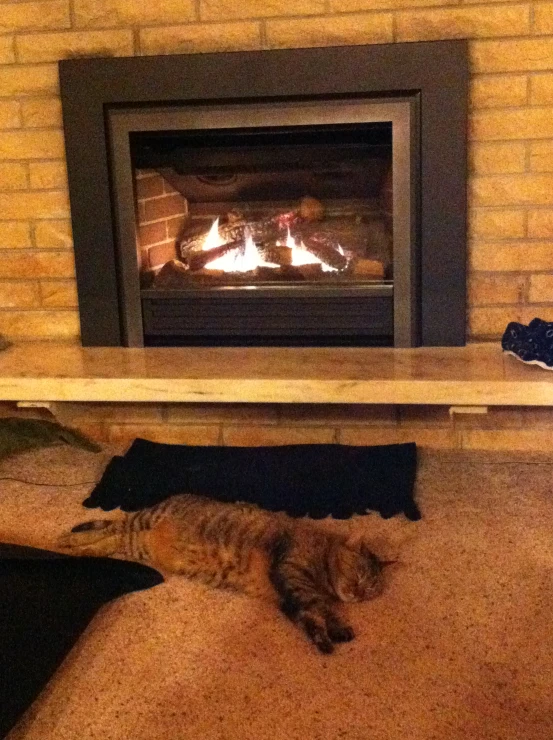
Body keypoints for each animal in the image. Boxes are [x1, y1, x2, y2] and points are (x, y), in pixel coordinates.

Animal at [57, 494, 384, 652]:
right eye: (359, 574)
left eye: (371, 589)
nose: (358, 593)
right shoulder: (292, 575)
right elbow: (322, 608)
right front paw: (337, 628)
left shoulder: (292, 601)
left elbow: (311, 619)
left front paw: (325, 639)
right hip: (142, 523)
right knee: (110, 528)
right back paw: (69, 540)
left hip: (138, 544)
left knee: (111, 540)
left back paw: (77, 546)